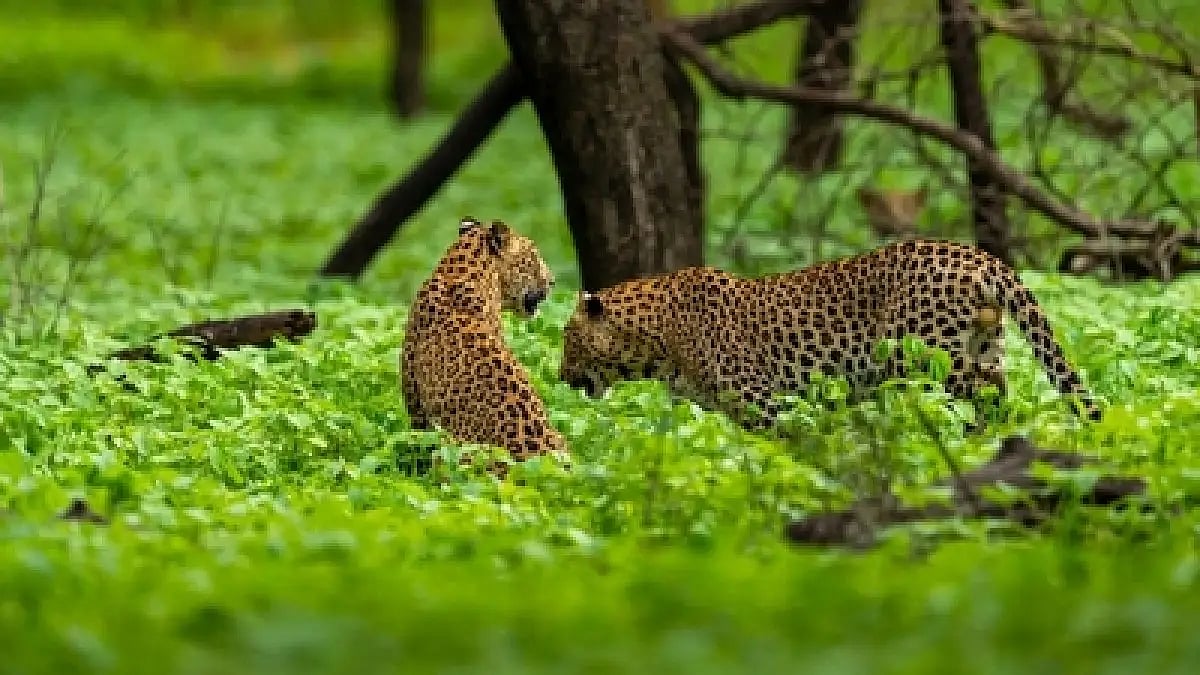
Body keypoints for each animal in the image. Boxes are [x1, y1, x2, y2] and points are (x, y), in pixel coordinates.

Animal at [559, 239, 1102, 431]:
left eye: (568, 342)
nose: (561, 376)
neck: (656, 339)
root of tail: (980, 255)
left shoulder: (760, 401)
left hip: (924, 360)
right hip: (983, 352)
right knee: (996, 406)